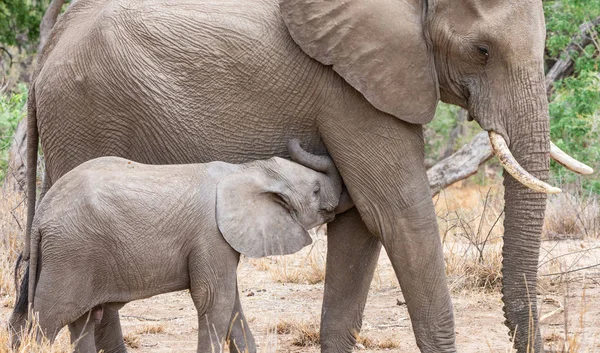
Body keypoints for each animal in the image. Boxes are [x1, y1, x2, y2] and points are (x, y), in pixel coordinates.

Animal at [9, 139, 342, 350]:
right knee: (47, 322)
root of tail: (40, 218)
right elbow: (214, 301)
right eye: (315, 191)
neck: (246, 170)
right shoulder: (211, 236)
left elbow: (231, 306)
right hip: (70, 254)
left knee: (82, 323)